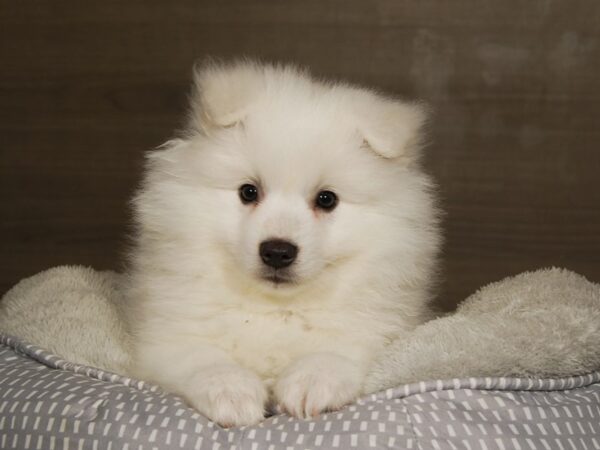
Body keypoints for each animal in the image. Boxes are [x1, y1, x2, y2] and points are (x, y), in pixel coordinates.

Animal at [124, 61, 438, 428]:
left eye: (326, 199)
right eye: (248, 192)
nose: (277, 251)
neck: (275, 309)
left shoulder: (376, 331)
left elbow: (336, 350)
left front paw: (311, 383)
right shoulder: (167, 337)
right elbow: (204, 358)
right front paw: (232, 392)